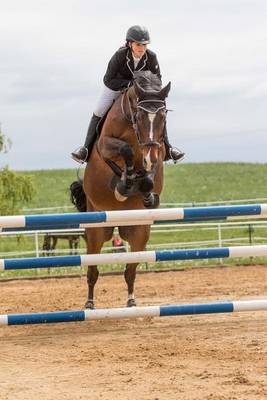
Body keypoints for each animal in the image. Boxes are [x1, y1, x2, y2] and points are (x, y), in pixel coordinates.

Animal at [70, 71, 172, 310]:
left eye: (163, 116)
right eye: (140, 115)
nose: (149, 156)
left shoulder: (158, 152)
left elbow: (149, 175)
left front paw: (146, 193)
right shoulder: (106, 146)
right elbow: (124, 152)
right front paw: (122, 185)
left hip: (138, 232)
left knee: (130, 270)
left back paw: (131, 301)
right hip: (96, 231)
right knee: (92, 270)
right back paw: (89, 303)